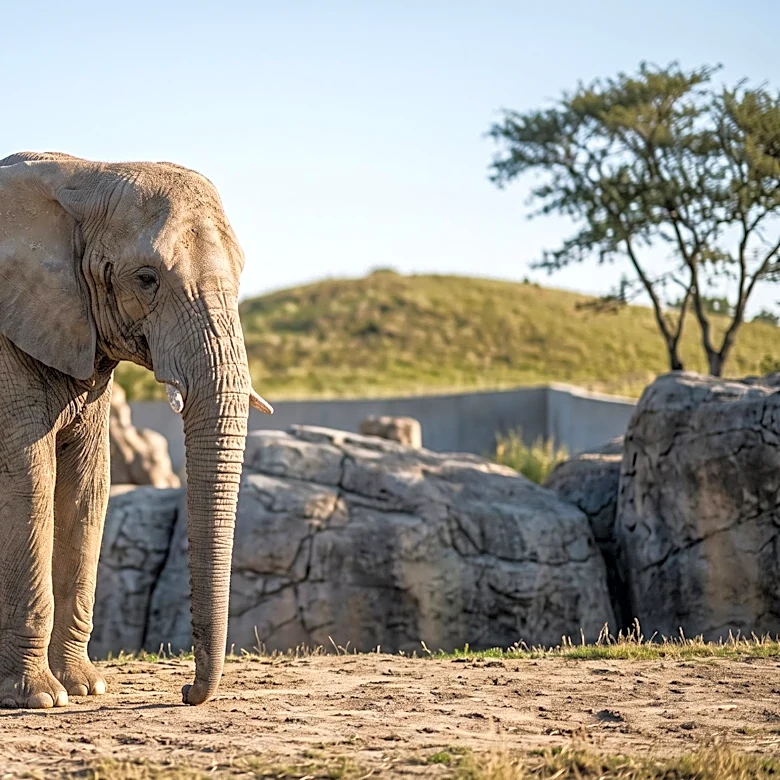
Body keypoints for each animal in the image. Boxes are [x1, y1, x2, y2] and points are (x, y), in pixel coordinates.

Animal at [0, 151, 273, 708]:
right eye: (146, 279)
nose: (187, 692)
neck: (85, 173)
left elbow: (87, 487)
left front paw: (87, 687)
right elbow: (30, 482)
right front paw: (40, 699)